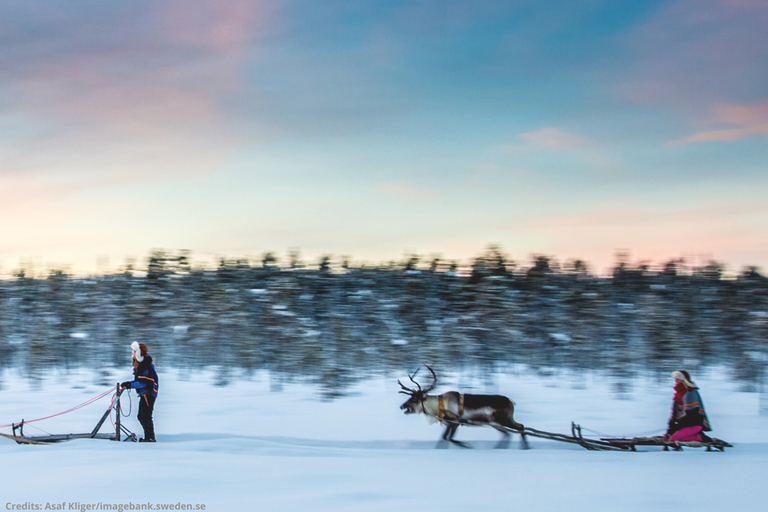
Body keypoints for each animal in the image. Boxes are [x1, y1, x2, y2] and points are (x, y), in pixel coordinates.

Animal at [399, 365, 527, 449]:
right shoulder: (449, 424)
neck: (438, 406)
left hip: (502, 420)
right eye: (410, 397)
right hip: (499, 422)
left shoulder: (455, 423)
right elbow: (444, 437)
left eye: (414, 399)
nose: (402, 406)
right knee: (513, 431)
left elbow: (449, 438)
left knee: (518, 428)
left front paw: (466, 445)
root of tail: (511, 401)